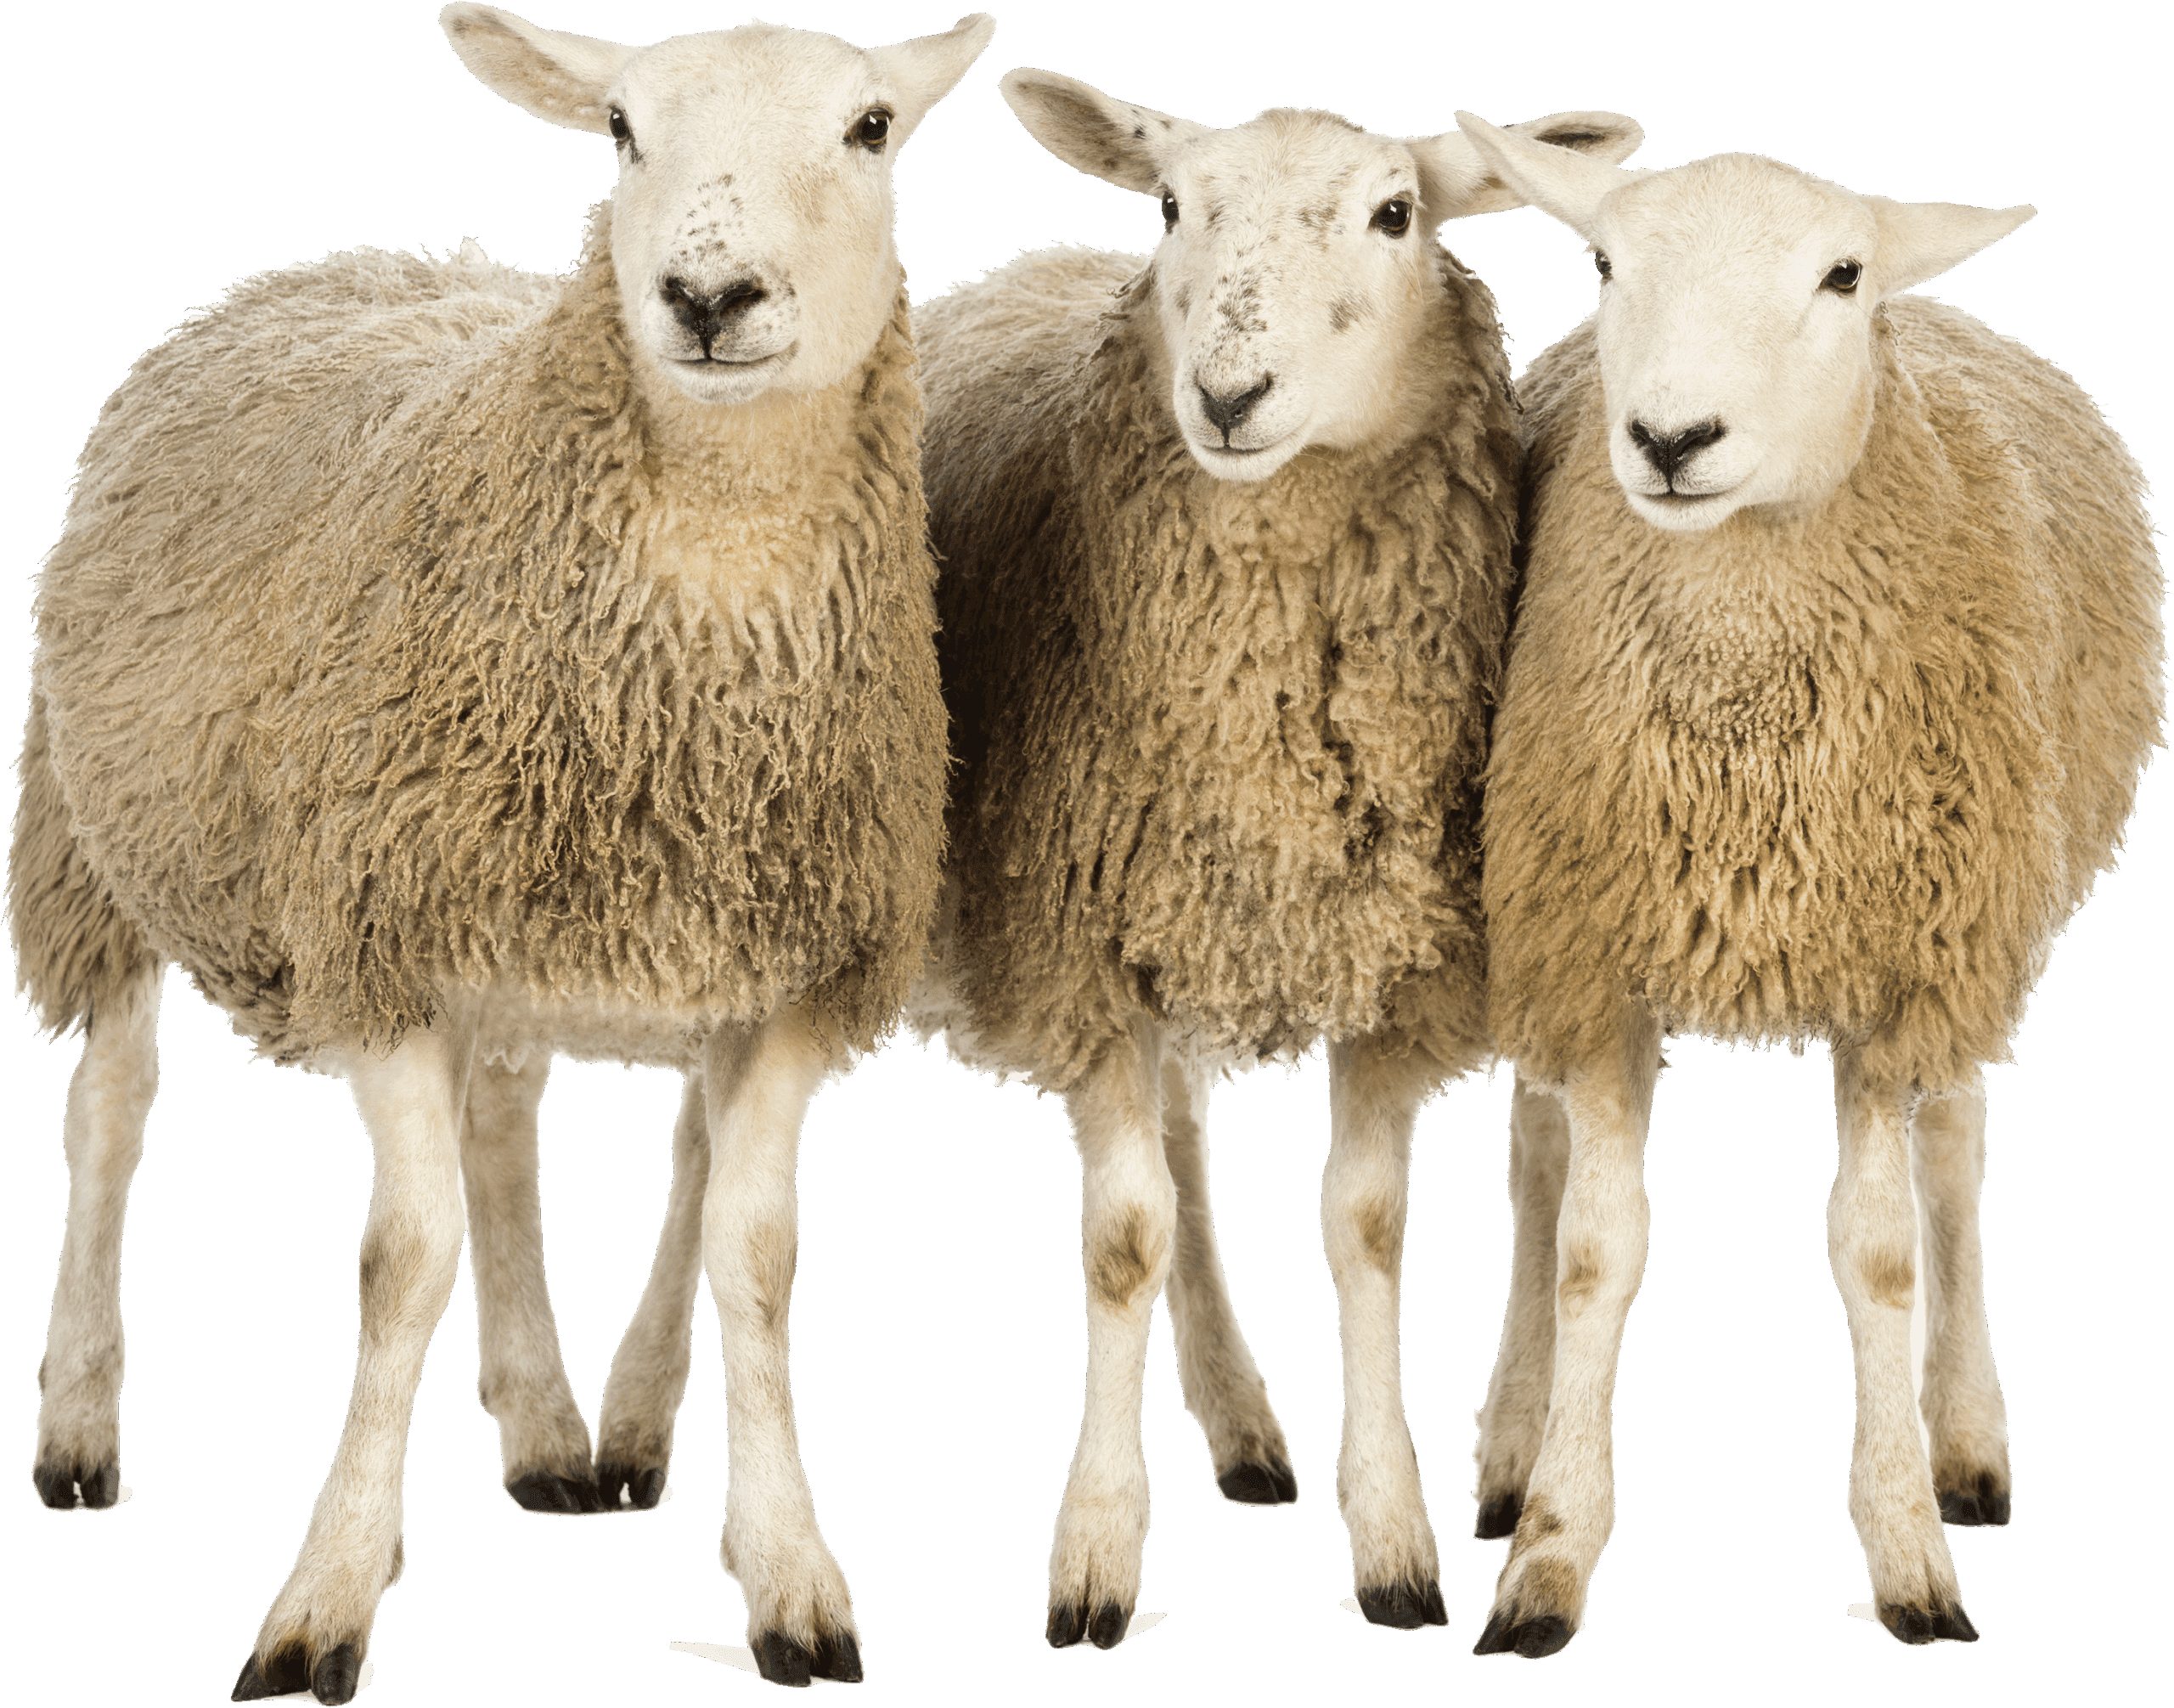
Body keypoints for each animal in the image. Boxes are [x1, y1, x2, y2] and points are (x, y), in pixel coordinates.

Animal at [11, 5, 993, 1697]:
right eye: (619, 125)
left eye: (870, 124)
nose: (708, 296)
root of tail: (334, 260)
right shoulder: (375, 939)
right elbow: (400, 1262)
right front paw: (323, 1594)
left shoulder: (787, 979)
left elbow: (755, 1252)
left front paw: (790, 1574)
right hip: (97, 830)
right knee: (108, 1113)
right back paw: (80, 1420)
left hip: (511, 914)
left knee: (504, 1122)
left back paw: (544, 1426)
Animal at [905, 69, 1640, 1645]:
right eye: (1174, 204)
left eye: (1395, 213)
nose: (1227, 395)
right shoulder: (1089, 950)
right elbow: (1124, 1236)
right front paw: (1096, 1552)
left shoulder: (1393, 958)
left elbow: (1366, 1226)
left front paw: (1395, 1538)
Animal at [1451, 112, 2163, 1657]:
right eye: (1604, 261)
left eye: (1840, 275)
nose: (1670, 439)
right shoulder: (1596, 950)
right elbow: (1593, 1245)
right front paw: (1548, 1551)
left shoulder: (1897, 968)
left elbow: (1878, 1249)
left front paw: (1908, 1553)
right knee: (1532, 1163)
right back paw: (1510, 1443)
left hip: (1976, 926)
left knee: (1956, 1156)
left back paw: (1967, 1445)